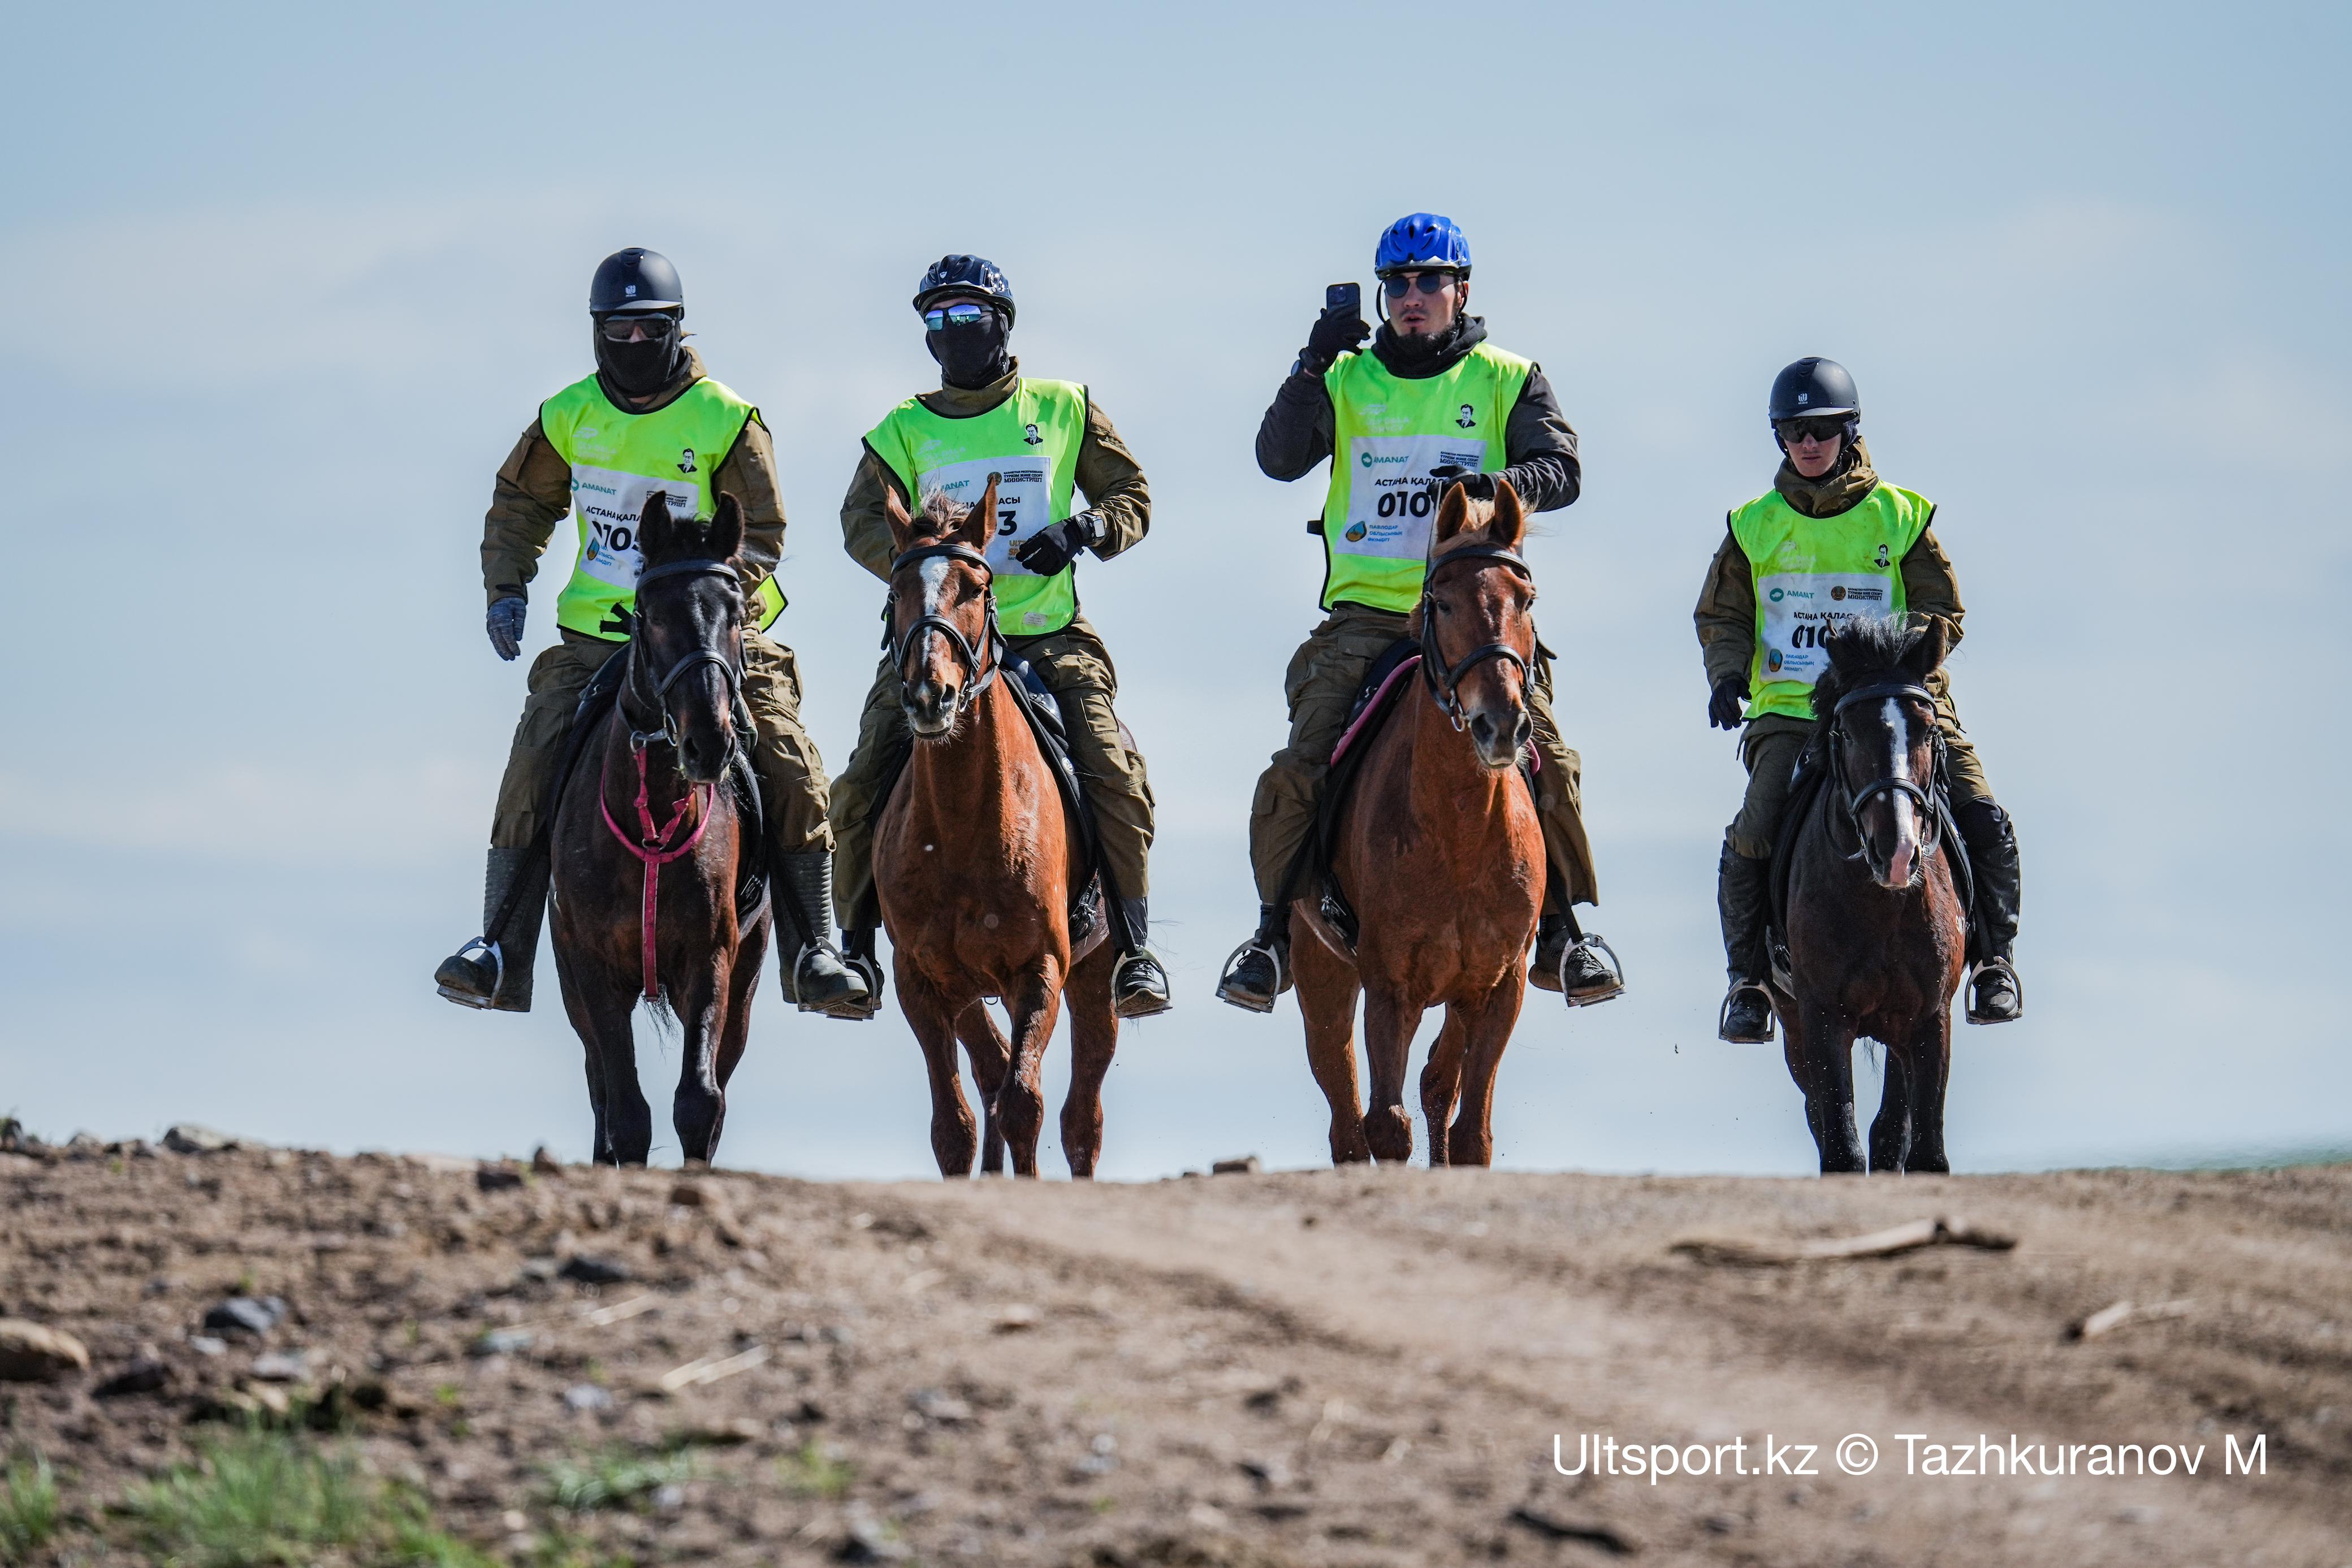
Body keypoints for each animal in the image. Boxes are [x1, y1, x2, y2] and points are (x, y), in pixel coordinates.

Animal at [546, 496, 767, 1171]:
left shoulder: (711, 958)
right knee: (598, 1086)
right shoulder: (593, 970)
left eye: (736, 615)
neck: (652, 820)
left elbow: (700, 1102)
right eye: (653, 615)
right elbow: (625, 1110)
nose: (709, 742)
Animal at [875, 479, 1119, 1175]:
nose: (929, 695)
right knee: (988, 1079)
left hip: (1093, 981)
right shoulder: (922, 980)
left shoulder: (1040, 971)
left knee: (1080, 1120)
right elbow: (955, 1124)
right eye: (895, 590)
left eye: (975, 587)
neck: (961, 828)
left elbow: (1023, 1105)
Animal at [1298, 484, 1552, 1171]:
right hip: (1323, 977)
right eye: (1441, 601)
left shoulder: (1499, 986)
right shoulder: (1390, 986)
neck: (1460, 833)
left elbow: (1471, 1132)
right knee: (1344, 1116)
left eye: (1526, 599)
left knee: (1438, 1083)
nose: (1500, 723)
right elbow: (1384, 1125)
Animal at [1778, 620, 1966, 1171]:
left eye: (1929, 731)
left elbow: (1924, 1152)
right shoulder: (1821, 1019)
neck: (1881, 908)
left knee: (1890, 1130)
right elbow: (1841, 1146)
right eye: (1847, 733)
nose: (1898, 852)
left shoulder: (1930, 1019)